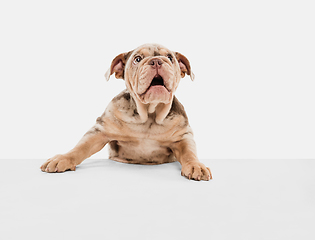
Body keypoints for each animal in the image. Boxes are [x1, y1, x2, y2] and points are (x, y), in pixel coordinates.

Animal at [40, 44, 212, 181]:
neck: (150, 114)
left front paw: (196, 165)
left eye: (170, 58)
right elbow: (81, 147)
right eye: (137, 59)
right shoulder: (100, 131)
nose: (157, 60)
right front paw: (63, 158)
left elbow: (189, 153)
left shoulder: (183, 137)